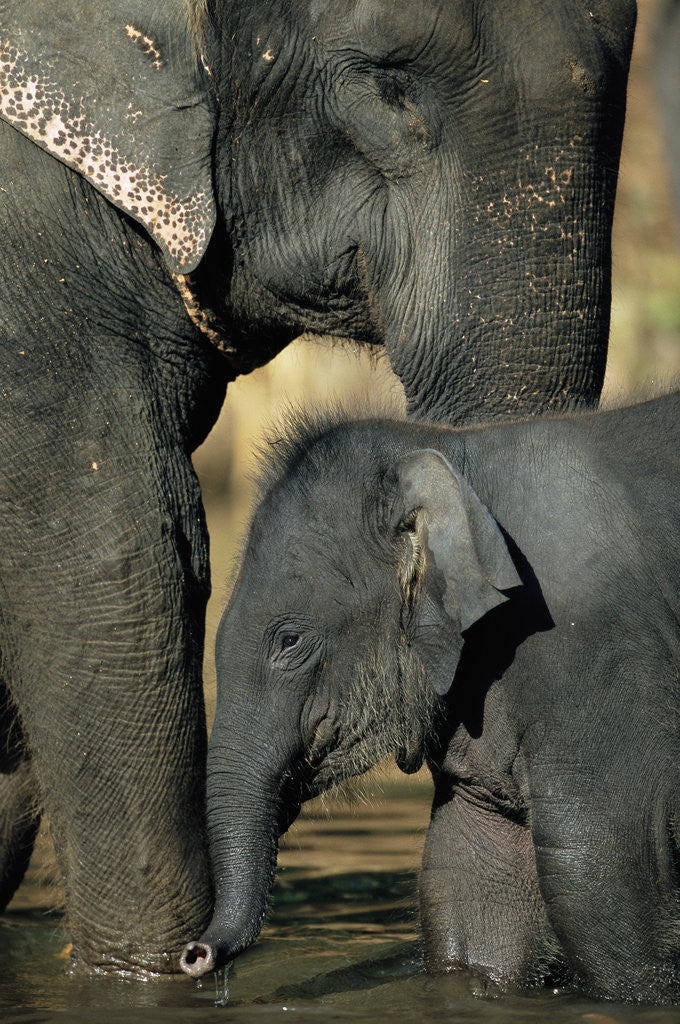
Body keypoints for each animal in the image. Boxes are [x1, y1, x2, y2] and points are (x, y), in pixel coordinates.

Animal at [183, 391, 680, 1004]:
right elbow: (468, 880)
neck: (455, 452)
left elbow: (602, 878)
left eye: (289, 641)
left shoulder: (599, 657)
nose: (197, 956)